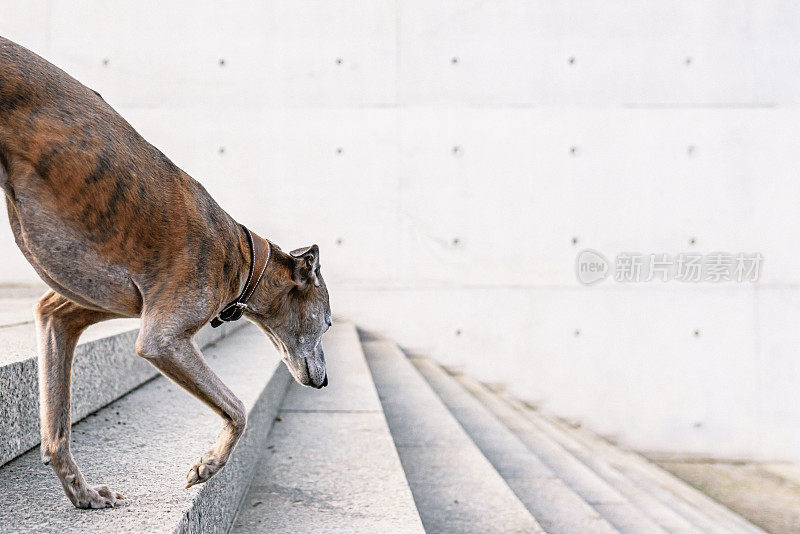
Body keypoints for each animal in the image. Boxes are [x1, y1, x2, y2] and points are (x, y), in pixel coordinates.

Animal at [0, 37, 332, 510]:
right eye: (327, 324)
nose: (324, 381)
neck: (243, 257)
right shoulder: (163, 338)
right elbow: (238, 409)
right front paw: (208, 465)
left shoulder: (64, 313)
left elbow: (56, 428)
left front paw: (83, 493)